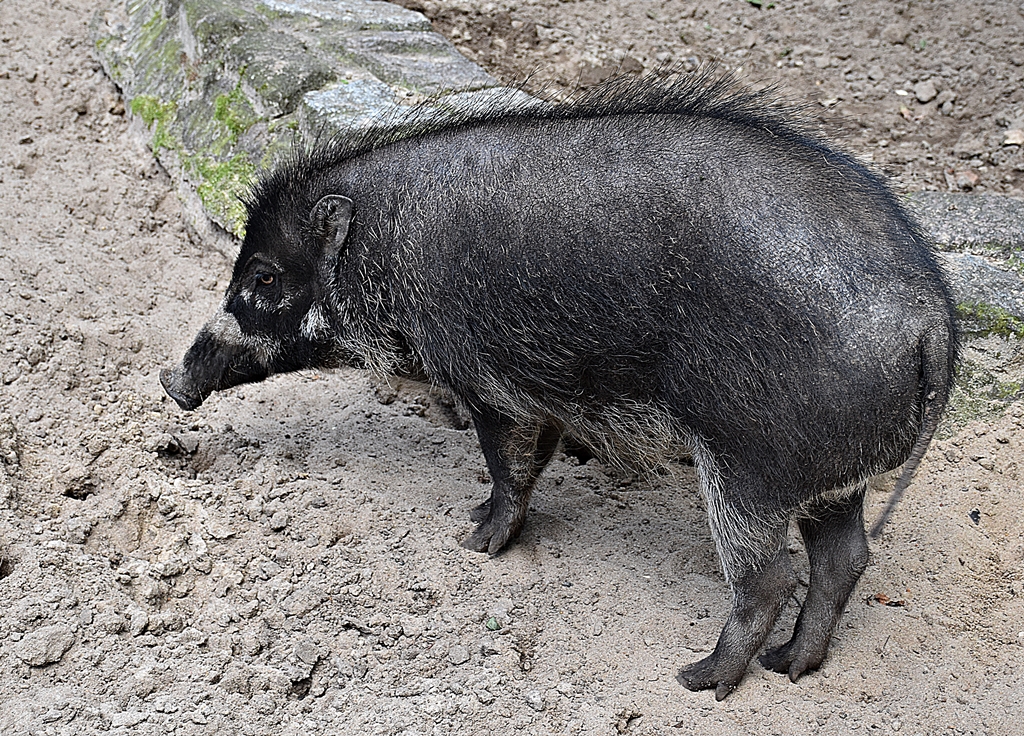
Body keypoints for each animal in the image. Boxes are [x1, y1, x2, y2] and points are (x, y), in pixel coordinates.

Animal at [160, 71, 958, 700]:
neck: (386, 251)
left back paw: (697, 679)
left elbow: (509, 467)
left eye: (265, 278)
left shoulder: (491, 383)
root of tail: (929, 316)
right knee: (844, 559)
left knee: (769, 577)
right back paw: (793, 665)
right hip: (831, 476)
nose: (170, 380)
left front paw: (474, 543)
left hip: (750, 467)